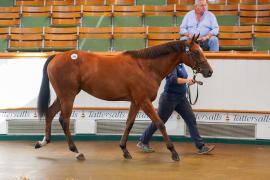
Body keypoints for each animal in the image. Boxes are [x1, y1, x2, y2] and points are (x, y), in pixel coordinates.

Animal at [35, 35, 213, 161]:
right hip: (68, 95)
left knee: (50, 113)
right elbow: (160, 123)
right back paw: (76, 152)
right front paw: (174, 152)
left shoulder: (135, 102)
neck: (146, 67)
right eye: (196, 52)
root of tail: (57, 56)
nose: (209, 71)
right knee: (64, 120)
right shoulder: (144, 101)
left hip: (64, 95)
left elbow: (129, 123)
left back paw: (43, 142)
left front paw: (124, 150)